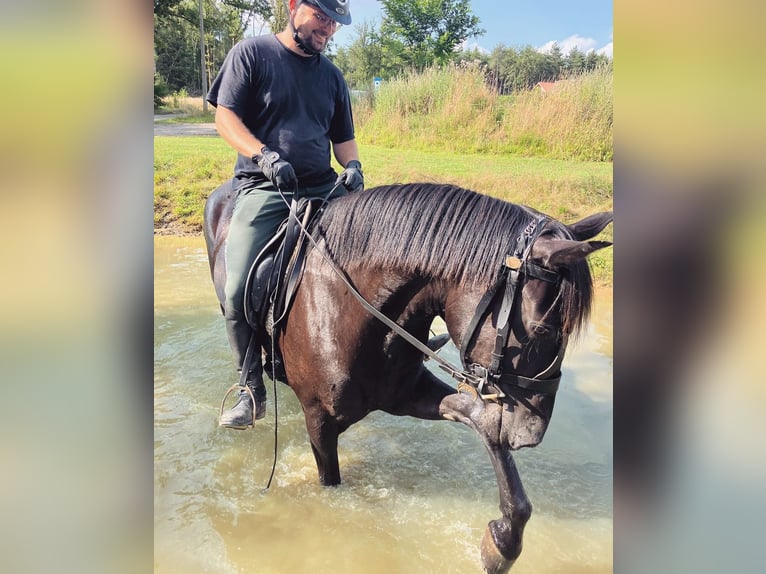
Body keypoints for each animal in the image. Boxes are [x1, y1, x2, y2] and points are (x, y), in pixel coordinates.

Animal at [204, 183, 612, 572]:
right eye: (543, 330)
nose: (532, 434)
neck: (353, 311)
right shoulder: (319, 419)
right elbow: (330, 485)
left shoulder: (408, 395)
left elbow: (485, 426)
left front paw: (501, 543)